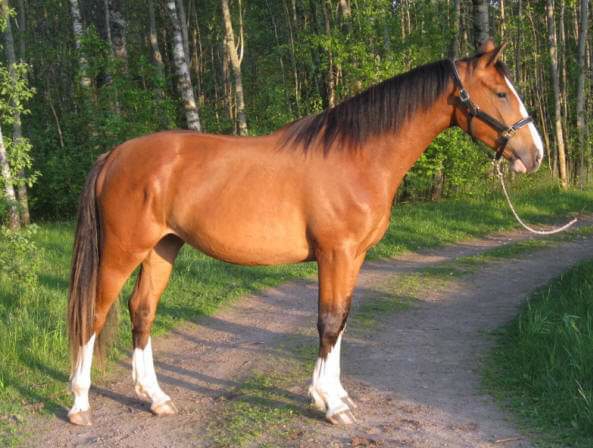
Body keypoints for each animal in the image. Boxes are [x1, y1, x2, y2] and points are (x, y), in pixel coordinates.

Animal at [67, 39, 543, 426]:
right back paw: (79, 405)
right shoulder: (337, 253)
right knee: (94, 314)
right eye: (501, 93)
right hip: (123, 252)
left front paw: (336, 395)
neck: (358, 156)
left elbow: (343, 320)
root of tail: (114, 155)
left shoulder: (355, 257)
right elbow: (328, 322)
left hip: (162, 248)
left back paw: (156, 398)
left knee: (142, 312)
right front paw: (330, 404)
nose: (534, 154)